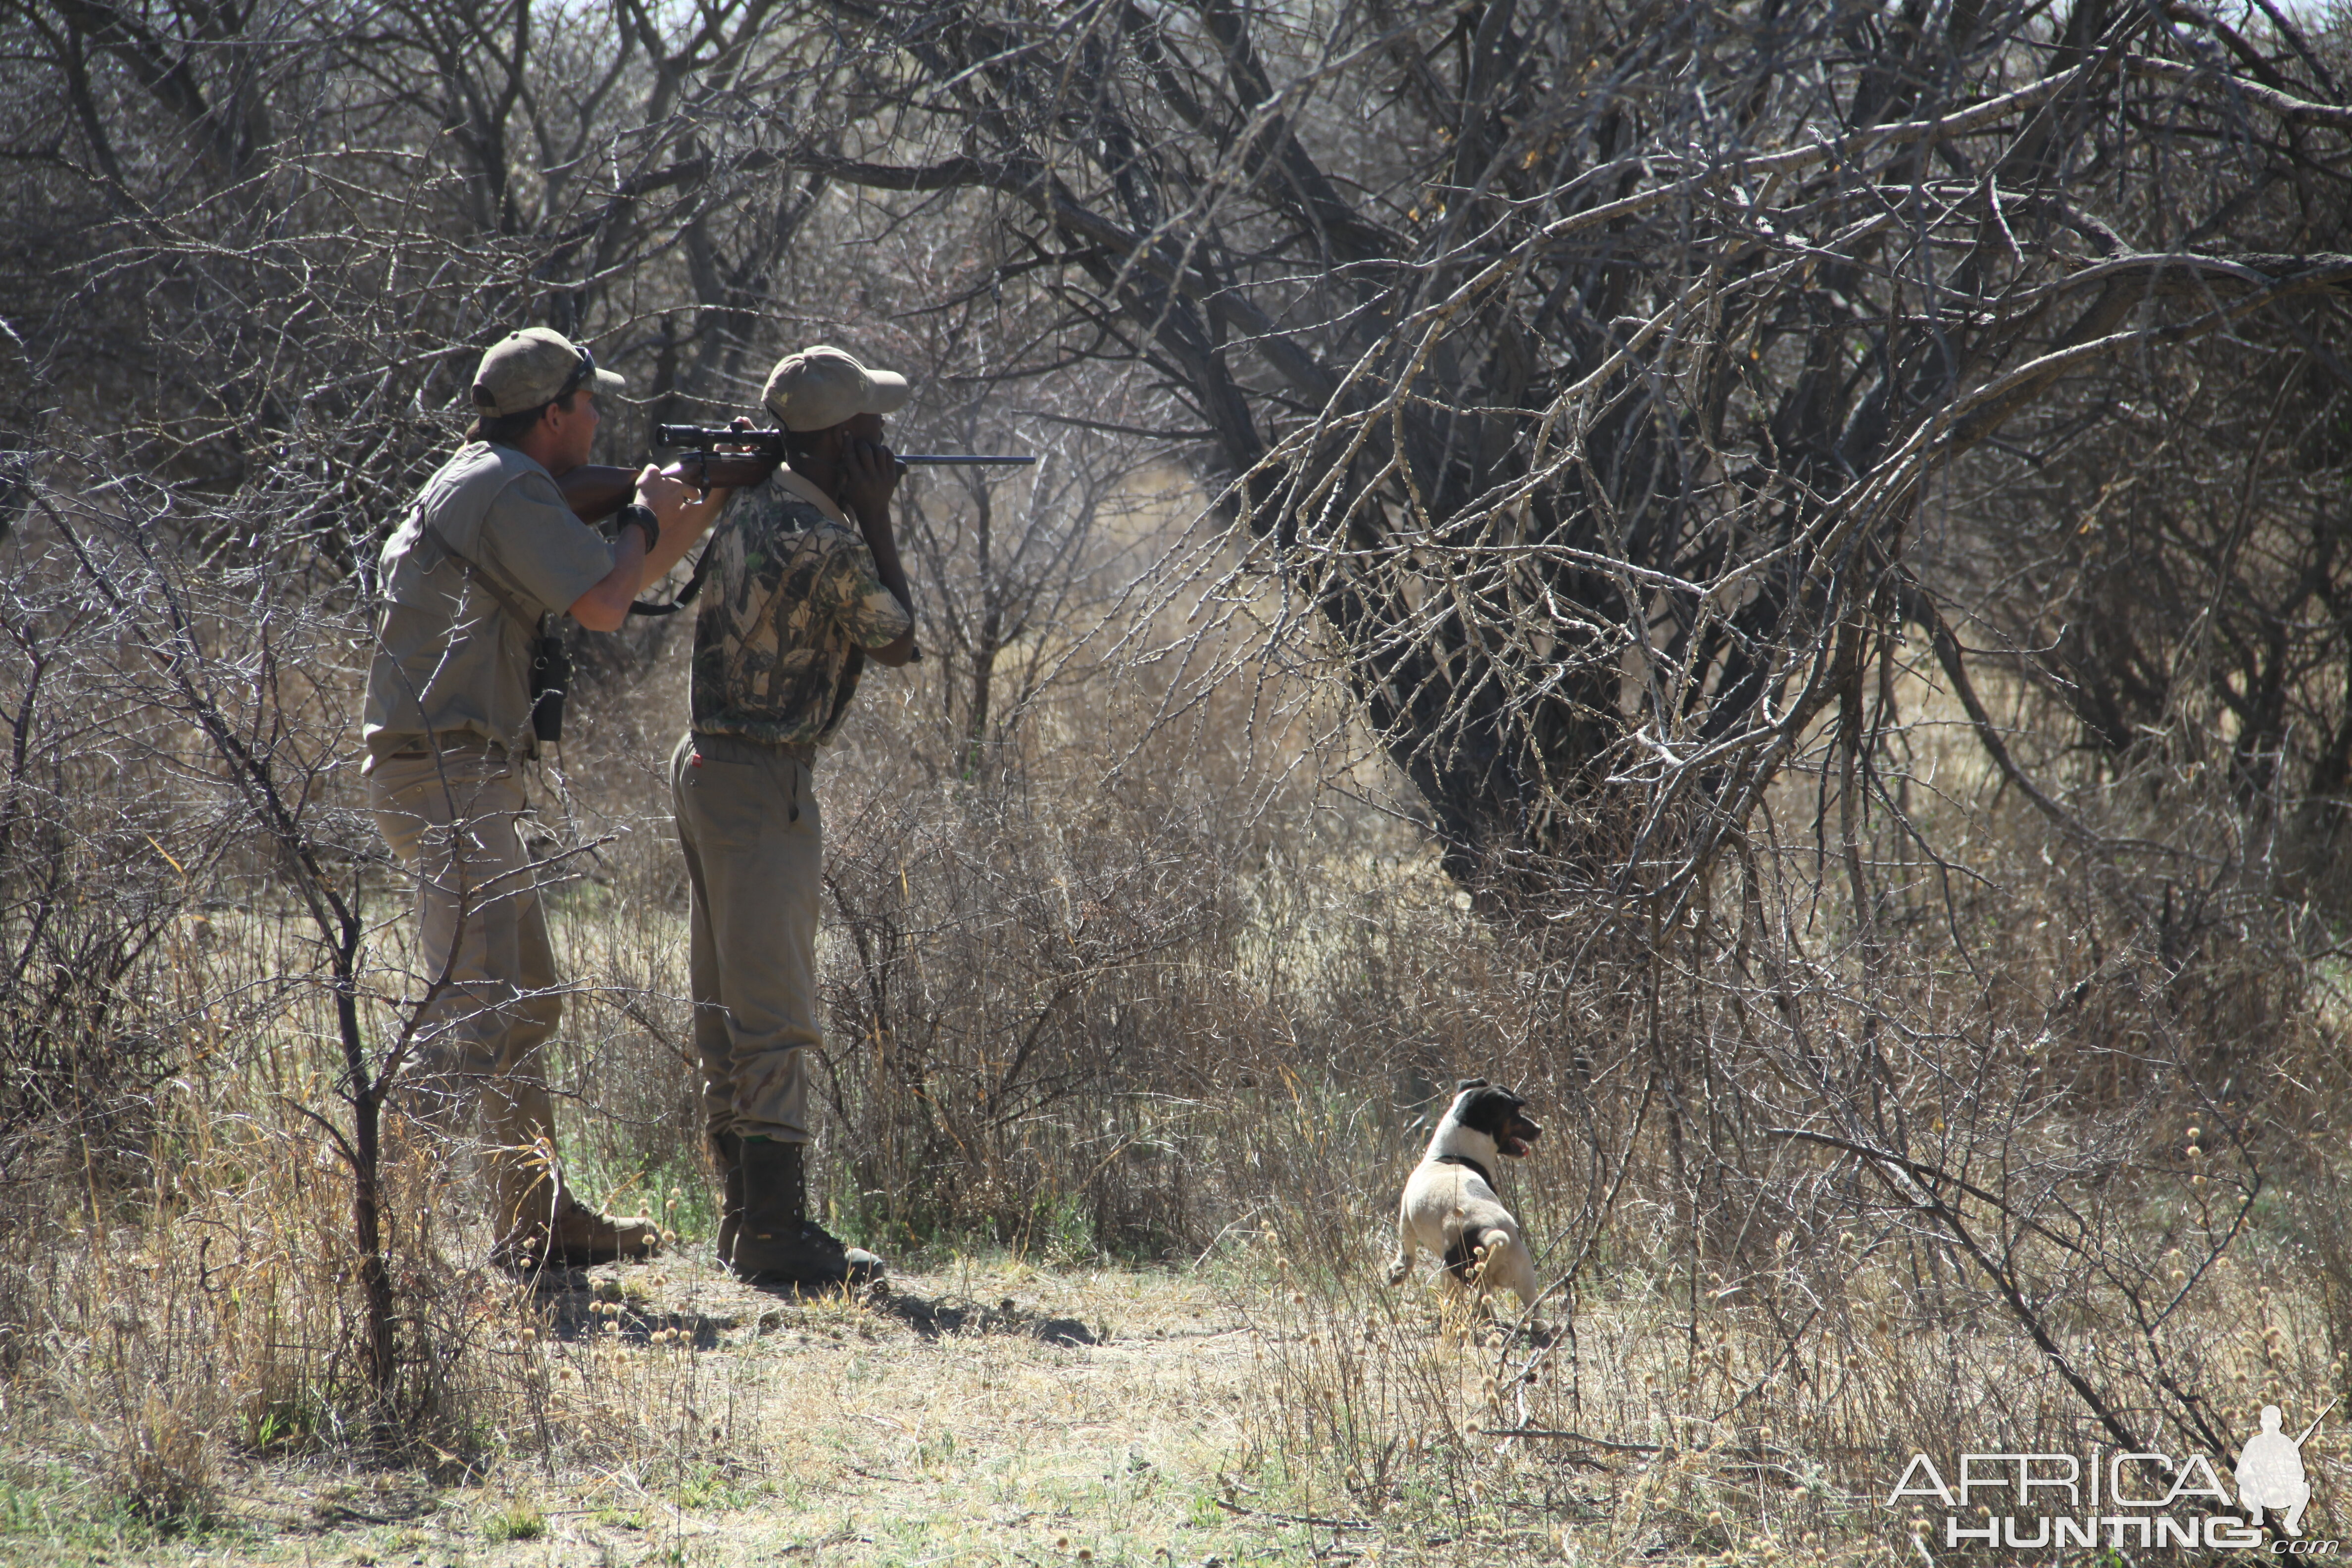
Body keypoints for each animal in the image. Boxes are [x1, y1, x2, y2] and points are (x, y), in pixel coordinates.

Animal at [1383, 1081, 1533, 1316]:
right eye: (1516, 1113)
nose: (1539, 1129)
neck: (1452, 1155)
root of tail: (1487, 1230)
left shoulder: (1405, 1220)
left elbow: (1406, 1252)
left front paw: (1397, 1273)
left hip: (1453, 1274)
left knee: (1459, 1300)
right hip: (1524, 1276)